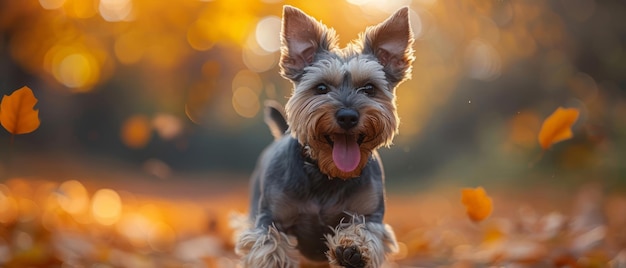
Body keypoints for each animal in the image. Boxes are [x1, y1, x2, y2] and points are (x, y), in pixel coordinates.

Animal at [232, 5, 412, 266]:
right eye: (321, 88)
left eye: (369, 88)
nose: (347, 116)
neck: (326, 174)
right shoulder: (270, 216)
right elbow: (268, 243)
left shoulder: (370, 213)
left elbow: (367, 231)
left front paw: (352, 249)